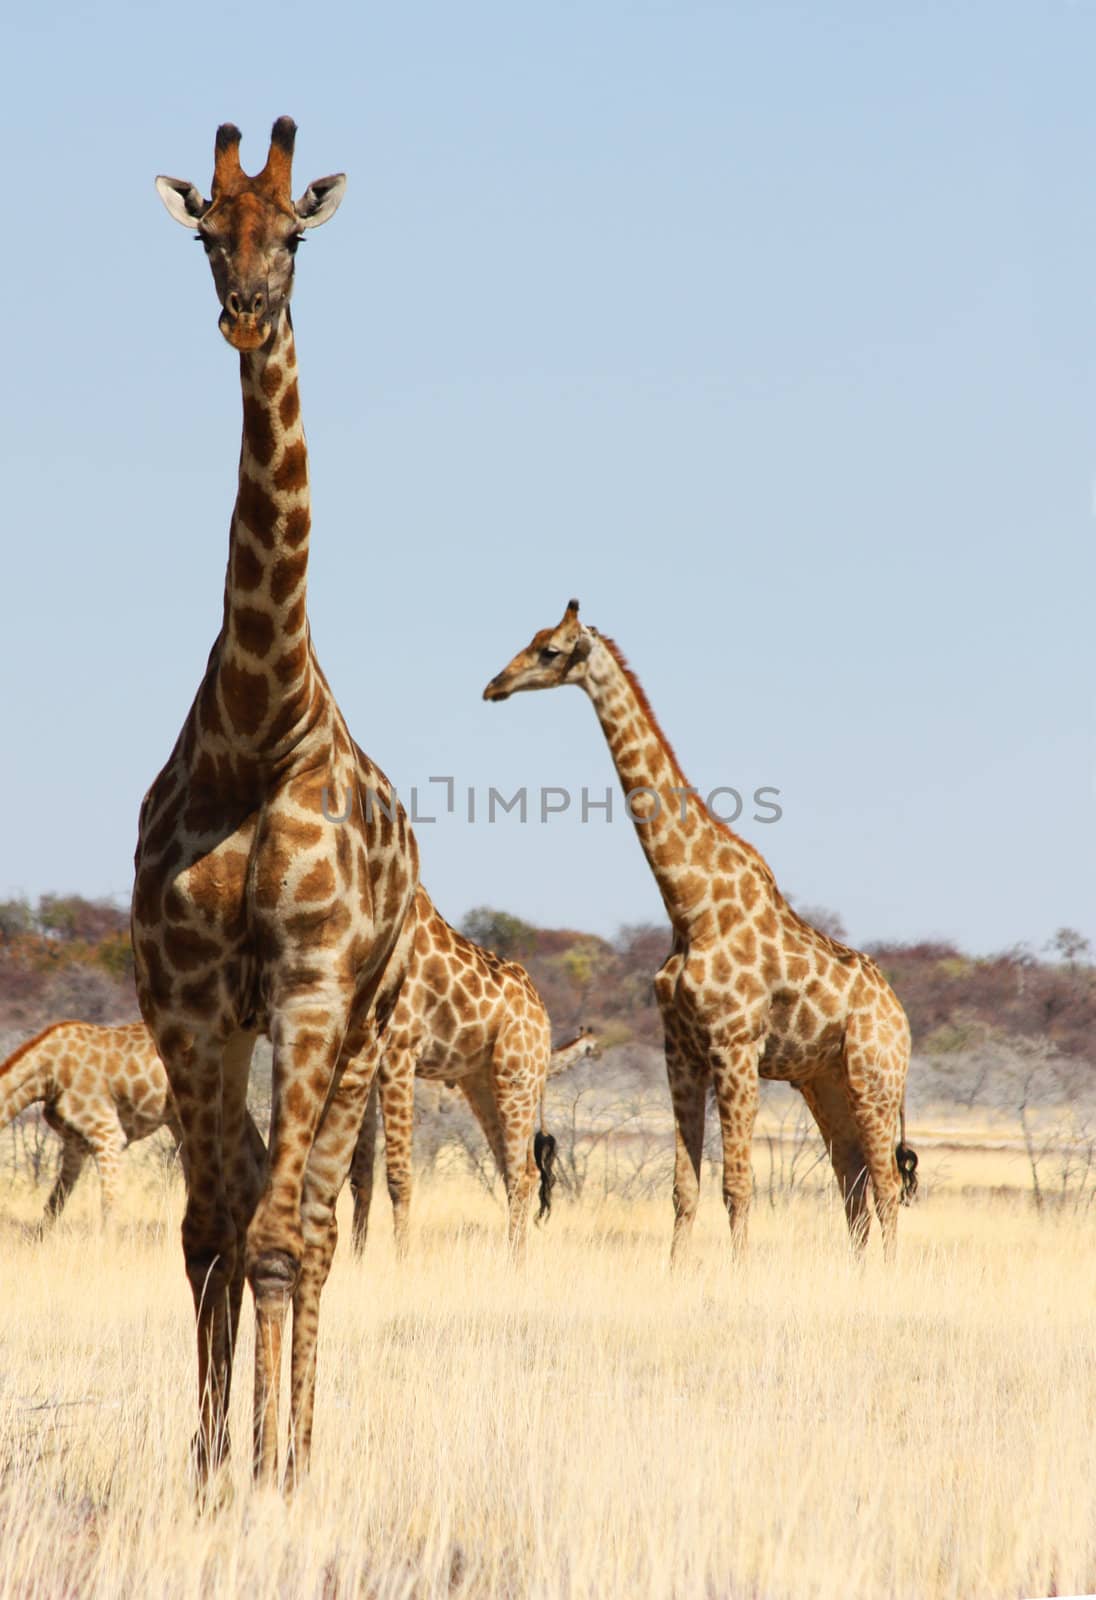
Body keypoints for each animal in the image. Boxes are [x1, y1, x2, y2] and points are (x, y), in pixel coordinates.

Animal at [0, 1017, 265, 1228]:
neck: (47, 1075)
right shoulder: (75, 1143)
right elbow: (54, 1203)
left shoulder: (107, 1134)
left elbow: (109, 1203)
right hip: (184, 1119)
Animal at [348, 883, 556, 1254]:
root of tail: (544, 1019)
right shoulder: (366, 1053)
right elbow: (361, 1177)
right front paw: (355, 1260)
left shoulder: (399, 1050)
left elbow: (398, 1174)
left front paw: (402, 1261)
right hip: (482, 1084)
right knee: (516, 1171)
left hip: (518, 1078)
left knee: (523, 1175)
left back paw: (514, 1262)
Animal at [483, 601, 921, 1260]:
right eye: (531, 640)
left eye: (551, 650)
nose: (494, 686)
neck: (689, 907)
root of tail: (901, 1017)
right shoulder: (681, 1051)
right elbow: (683, 1188)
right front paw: (677, 1273)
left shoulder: (736, 1047)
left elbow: (737, 1184)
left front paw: (738, 1276)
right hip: (824, 1081)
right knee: (853, 1177)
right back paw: (860, 1271)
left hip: (875, 1075)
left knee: (889, 1183)